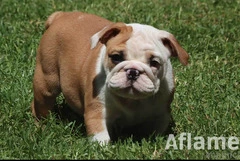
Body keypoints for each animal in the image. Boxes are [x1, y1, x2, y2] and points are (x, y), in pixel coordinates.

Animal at [31, 11, 189, 145]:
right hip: (46, 81)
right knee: (41, 104)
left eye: (154, 63)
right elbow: (101, 136)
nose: (133, 71)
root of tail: (61, 15)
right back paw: (41, 126)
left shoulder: (161, 114)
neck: (132, 101)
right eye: (116, 57)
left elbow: (156, 131)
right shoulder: (97, 111)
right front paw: (103, 149)